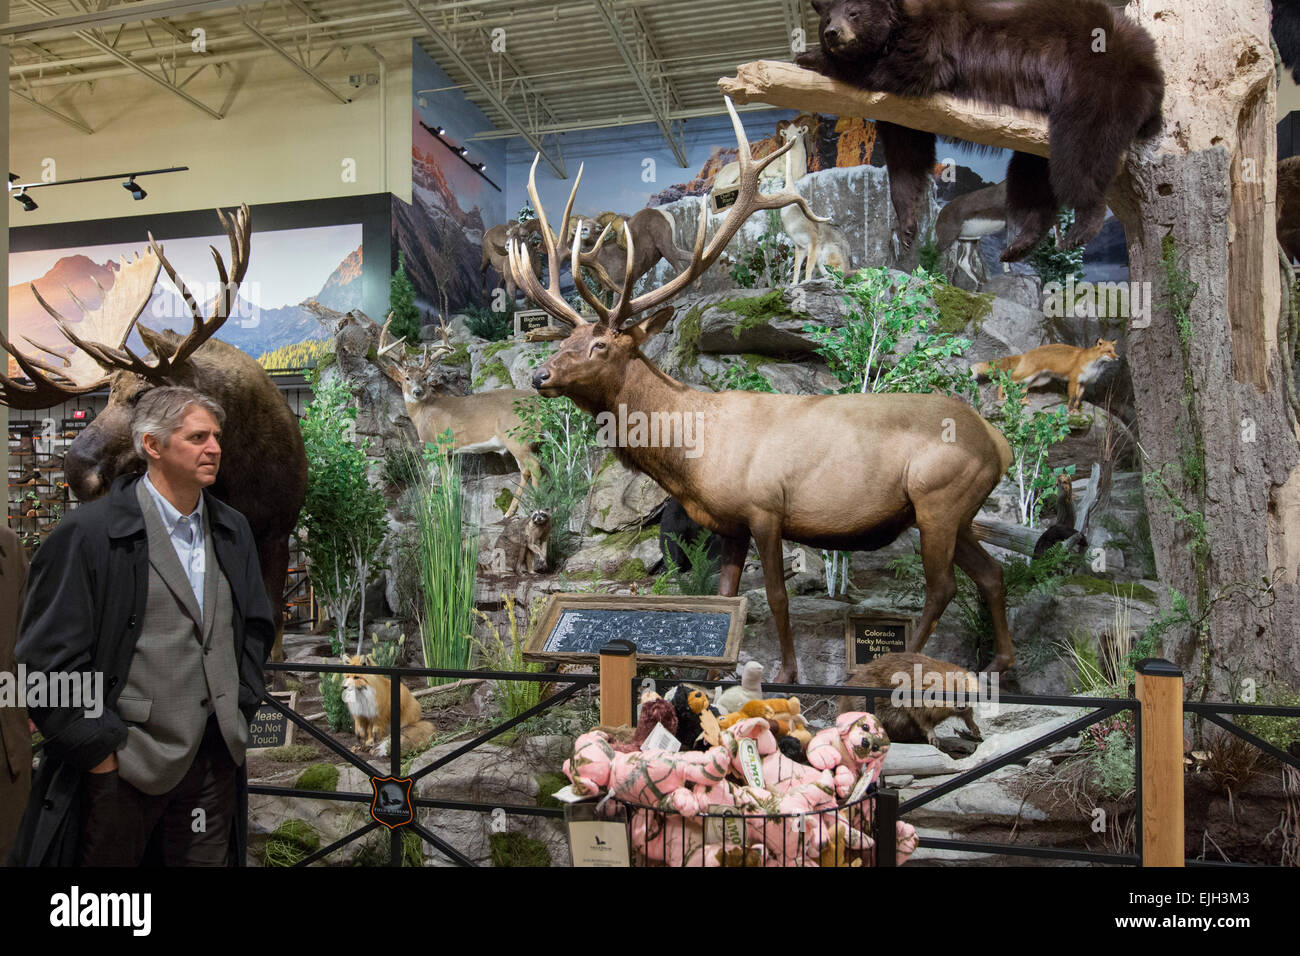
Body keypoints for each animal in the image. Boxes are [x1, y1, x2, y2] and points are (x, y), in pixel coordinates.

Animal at [0, 204, 309, 660]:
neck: (239, 476)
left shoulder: (277, 531)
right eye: (108, 394)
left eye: (145, 393)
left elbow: (273, 617)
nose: (77, 468)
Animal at [374, 316, 540, 515]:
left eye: (424, 378)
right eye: (407, 377)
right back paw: (510, 512)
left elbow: (445, 484)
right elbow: (451, 482)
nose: (417, 391)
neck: (422, 413)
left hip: (516, 436)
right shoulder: (451, 452)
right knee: (528, 469)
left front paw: (448, 513)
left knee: (534, 466)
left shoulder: (439, 445)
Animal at [506, 95, 1013, 681]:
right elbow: (725, 597)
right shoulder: (729, 524)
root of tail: (999, 444)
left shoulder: (766, 509)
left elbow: (773, 596)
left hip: (939, 499)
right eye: (567, 339)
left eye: (602, 344)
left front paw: (788, 674)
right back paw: (1002, 664)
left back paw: (893, 667)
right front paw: (710, 676)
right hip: (960, 513)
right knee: (992, 574)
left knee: (943, 587)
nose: (540, 376)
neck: (691, 455)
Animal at [972, 340, 1123, 411]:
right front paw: (1069, 411)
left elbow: (1078, 399)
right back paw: (1000, 397)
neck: (1093, 366)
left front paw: (1075, 411)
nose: (1118, 358)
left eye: (1114, 351)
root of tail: (1026, 354)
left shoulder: (1083, 383)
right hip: (1025, 376)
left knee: (1023, 389)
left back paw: (1024, 401)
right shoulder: (1073, 380)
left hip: (1038, 380)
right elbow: (1072, 397)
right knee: (1004, 382)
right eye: (1108, 351)